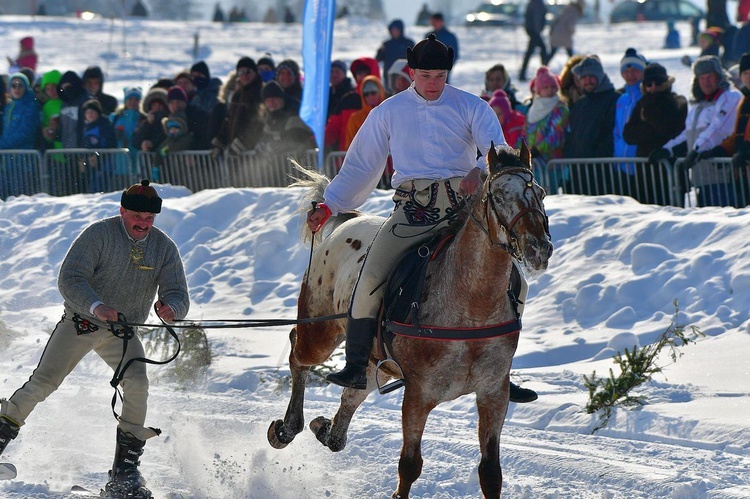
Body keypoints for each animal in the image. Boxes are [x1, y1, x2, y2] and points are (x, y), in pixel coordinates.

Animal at [268, 143, 552, 498]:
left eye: (540, 193)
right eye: (498, 196)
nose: (538, 249)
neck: (472, 305)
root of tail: (349, 222)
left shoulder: (493, 394)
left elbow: (490, 473)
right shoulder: (418, 395)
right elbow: (409, 465)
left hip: (374, 363)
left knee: (352, 394)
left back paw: (326, 430)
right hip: (320, 331)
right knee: (298, 353)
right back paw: (286, 428)